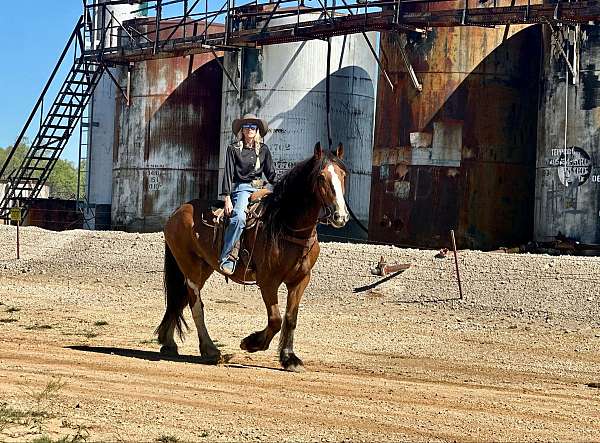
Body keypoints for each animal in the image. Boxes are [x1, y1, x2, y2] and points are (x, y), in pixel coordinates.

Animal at [155, 141, 350, 372]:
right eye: (321, 176)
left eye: (343, 174)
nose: (340, 216)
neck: (285, 223)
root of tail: (177, 211)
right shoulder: (268, 281)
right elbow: (275, 319)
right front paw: (251, 343)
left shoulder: (301, 280)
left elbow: (290, 318)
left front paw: (290, 358)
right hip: (190, 267)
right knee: (195, 305)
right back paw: (209, 349)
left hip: (202, 268)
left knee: (180, 300)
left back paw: (168, 342)